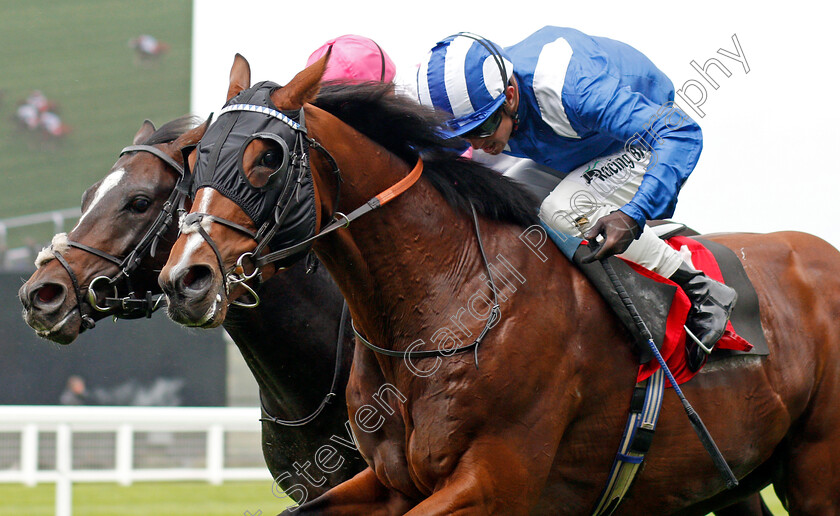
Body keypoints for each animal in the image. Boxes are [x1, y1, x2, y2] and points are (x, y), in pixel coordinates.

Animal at [156, 54, 832, 512]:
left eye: (267, 157)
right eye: (195, 157)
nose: (185, 278)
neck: (449, 303)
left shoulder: (494, 480)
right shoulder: (388, 480)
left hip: (814, 469)